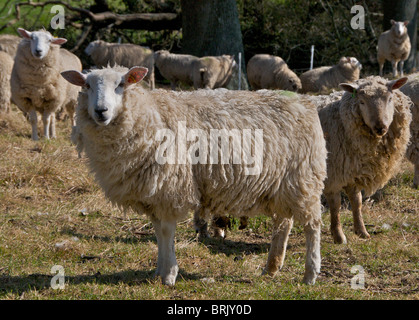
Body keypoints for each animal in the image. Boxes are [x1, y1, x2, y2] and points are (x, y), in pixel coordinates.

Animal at [62, 65, 330, 284]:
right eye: (86, 85)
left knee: (312, 225)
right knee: (284, 223)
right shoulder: (154, 194)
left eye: (121, 84)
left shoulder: (169, 187)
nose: (101, 111)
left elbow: (167, 231)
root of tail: (304, 102)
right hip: (282, 183)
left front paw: (169, 275)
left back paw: (310, 274)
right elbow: (158, 232)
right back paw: (271, 268)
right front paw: (159, 271)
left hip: (305, 177)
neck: (150, 114)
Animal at [318, 76, 414, 244]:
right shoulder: (332, 173)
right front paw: (338, 236)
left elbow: (357, 202)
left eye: (390, 99)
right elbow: (335, 205)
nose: (380, 127)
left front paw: (361, 231)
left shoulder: (352, 169)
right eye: (362, 102)